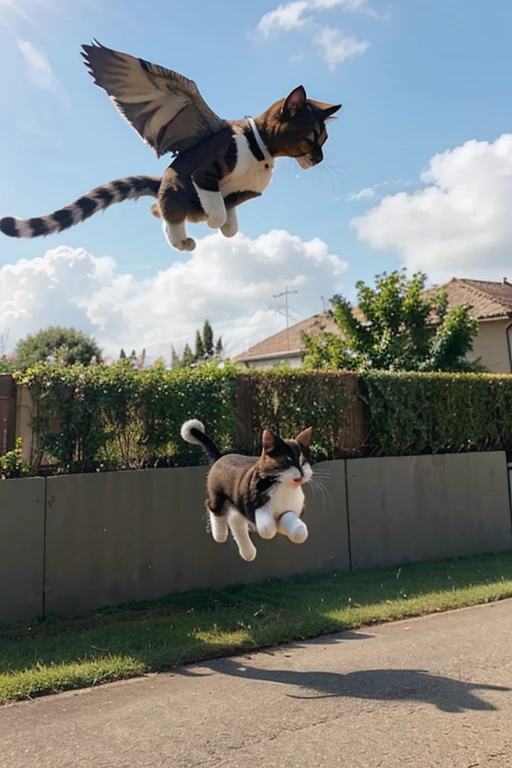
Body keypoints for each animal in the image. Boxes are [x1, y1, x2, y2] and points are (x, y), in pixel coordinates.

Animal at [1, 42, 344, 252]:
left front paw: (226, 224)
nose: (319, 158)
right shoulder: (204, 173)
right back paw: (182, 237)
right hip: (174, 189)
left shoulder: (242, 194)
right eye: (312, 137)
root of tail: (161, 181)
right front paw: (213, 218)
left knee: (161, 209)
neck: (259, 149)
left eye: (324, 140)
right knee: (168, 210)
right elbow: (215, 207)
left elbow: (230, 221)